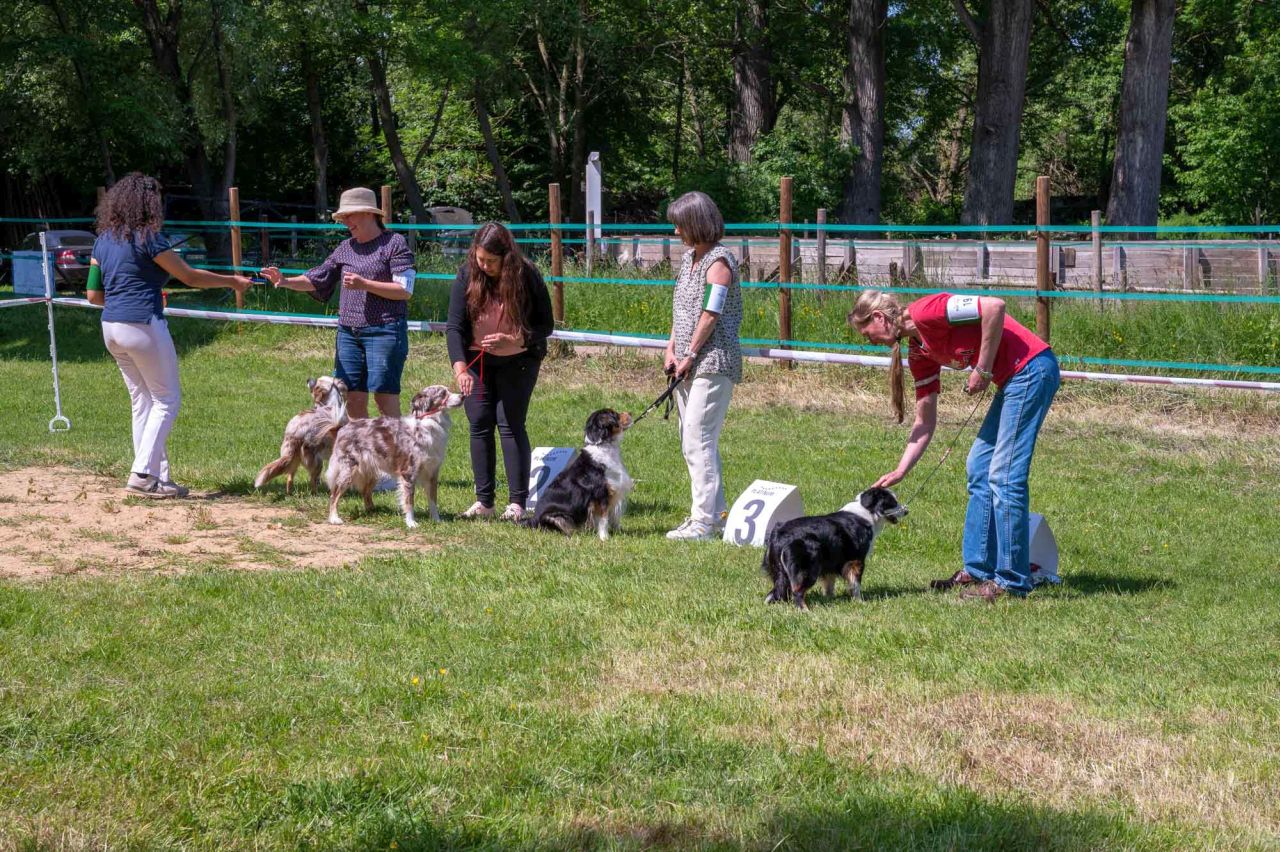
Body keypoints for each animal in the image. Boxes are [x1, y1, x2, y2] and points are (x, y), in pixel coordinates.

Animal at [327, 383, 463, 524]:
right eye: (443, 394)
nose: (463, 396)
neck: (428, 425)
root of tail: (343, 427)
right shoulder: (408, 473)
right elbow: (409, 502)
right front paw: (411, 523)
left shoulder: (432, 474)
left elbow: (433, 501)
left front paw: (437, 521)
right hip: (348, 472)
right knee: (334, 495)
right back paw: (334, 518)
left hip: (372, 473)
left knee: (365, 492)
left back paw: (373, 511)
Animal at [519, 409, 634, 539]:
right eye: (615, 414)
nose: (631, 412)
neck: (603, 446)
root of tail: (532, 520)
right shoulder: (601, 495)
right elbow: (603, 519)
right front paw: (604, 538)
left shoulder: (615, 491)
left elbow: (614, 518)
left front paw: (620, 533)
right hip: (556, 517)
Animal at [757, 483, 911, 611]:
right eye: (893, 502)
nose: (906, 511)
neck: (867, 512)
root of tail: (780, 533)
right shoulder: (856, 560)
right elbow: (855, 584)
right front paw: (859, 602)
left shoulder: (831, 560)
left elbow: (829, 583)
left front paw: (829, 599)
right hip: (808, 567)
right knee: (797, 591)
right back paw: (805, 611)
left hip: (779, 570)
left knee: (776, 591)